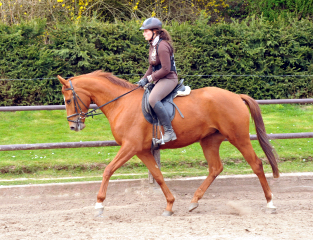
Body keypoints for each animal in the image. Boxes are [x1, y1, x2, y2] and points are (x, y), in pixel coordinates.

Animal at [57, 70, 280, 217]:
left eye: (68, 100)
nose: (73, 126)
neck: (121, 103)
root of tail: (236, 96)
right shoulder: (142, 150)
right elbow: (158, 175)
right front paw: (170, 205)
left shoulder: (130, 147)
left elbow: (108, 170)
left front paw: (99, 204)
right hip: (209, 140)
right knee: (215, 168)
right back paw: (193, 202)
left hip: (238, 138)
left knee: (256, 164)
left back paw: (270, 203)